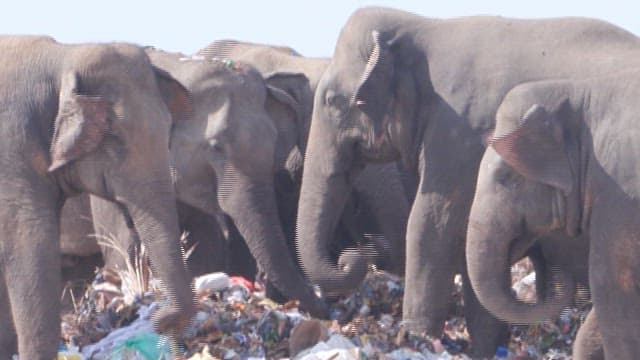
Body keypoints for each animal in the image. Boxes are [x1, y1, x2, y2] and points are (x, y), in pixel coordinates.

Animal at [0, 35, 198, 358]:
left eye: (168, 132)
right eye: (113, 136)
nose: (159, 320)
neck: (64, 56)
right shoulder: (11, 153)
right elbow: (31, 247)